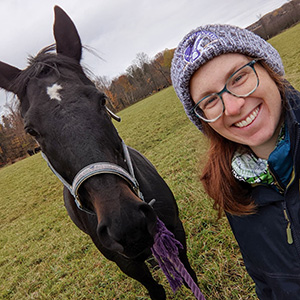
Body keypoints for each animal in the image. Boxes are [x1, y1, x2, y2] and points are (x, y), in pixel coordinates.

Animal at [0, 5, 198, 298]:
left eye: (101, 99)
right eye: (31, 130)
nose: (127, 223)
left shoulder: (176, 230)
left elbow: (189, 275)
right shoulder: (127, 263)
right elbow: (154, 288)